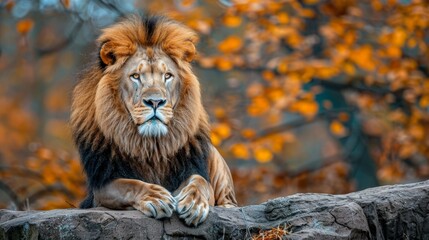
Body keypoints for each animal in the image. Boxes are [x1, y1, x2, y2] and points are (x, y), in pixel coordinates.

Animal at [70, 15, 237, 227]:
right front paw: (155, 197)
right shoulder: (102, 184)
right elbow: (128, 184)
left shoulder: (192, 167)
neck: (152, 146)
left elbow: (199, 182)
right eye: (135, 76)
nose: (155, 101)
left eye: (167, 76)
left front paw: (193, 202)